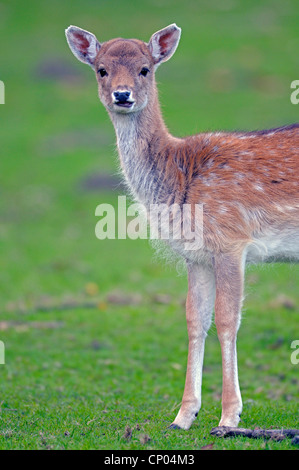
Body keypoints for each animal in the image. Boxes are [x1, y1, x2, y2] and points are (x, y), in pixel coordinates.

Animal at [66, 24, 299, 430]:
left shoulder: (231, 241)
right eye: (101, 70)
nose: (122, 94)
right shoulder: (196, 255)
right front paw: (183, 416)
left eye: (145, 69)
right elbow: (195, 320)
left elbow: (227, 320)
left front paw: (229, 417)